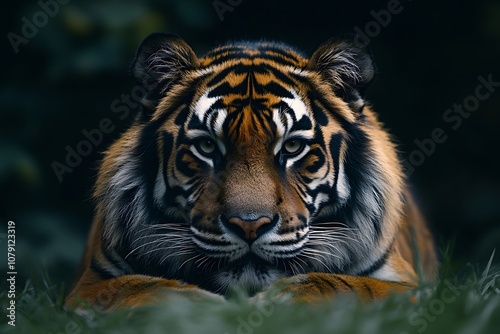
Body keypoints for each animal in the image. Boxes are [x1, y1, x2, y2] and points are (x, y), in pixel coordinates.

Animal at [64, 32, 436, 310]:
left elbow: (348, 284)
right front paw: (202, 307)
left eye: (292, 147)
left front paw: (280, 299)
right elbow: (139, 287)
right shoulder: (89, 284)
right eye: (207, 147)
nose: (249, 225)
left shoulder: (412, 286)